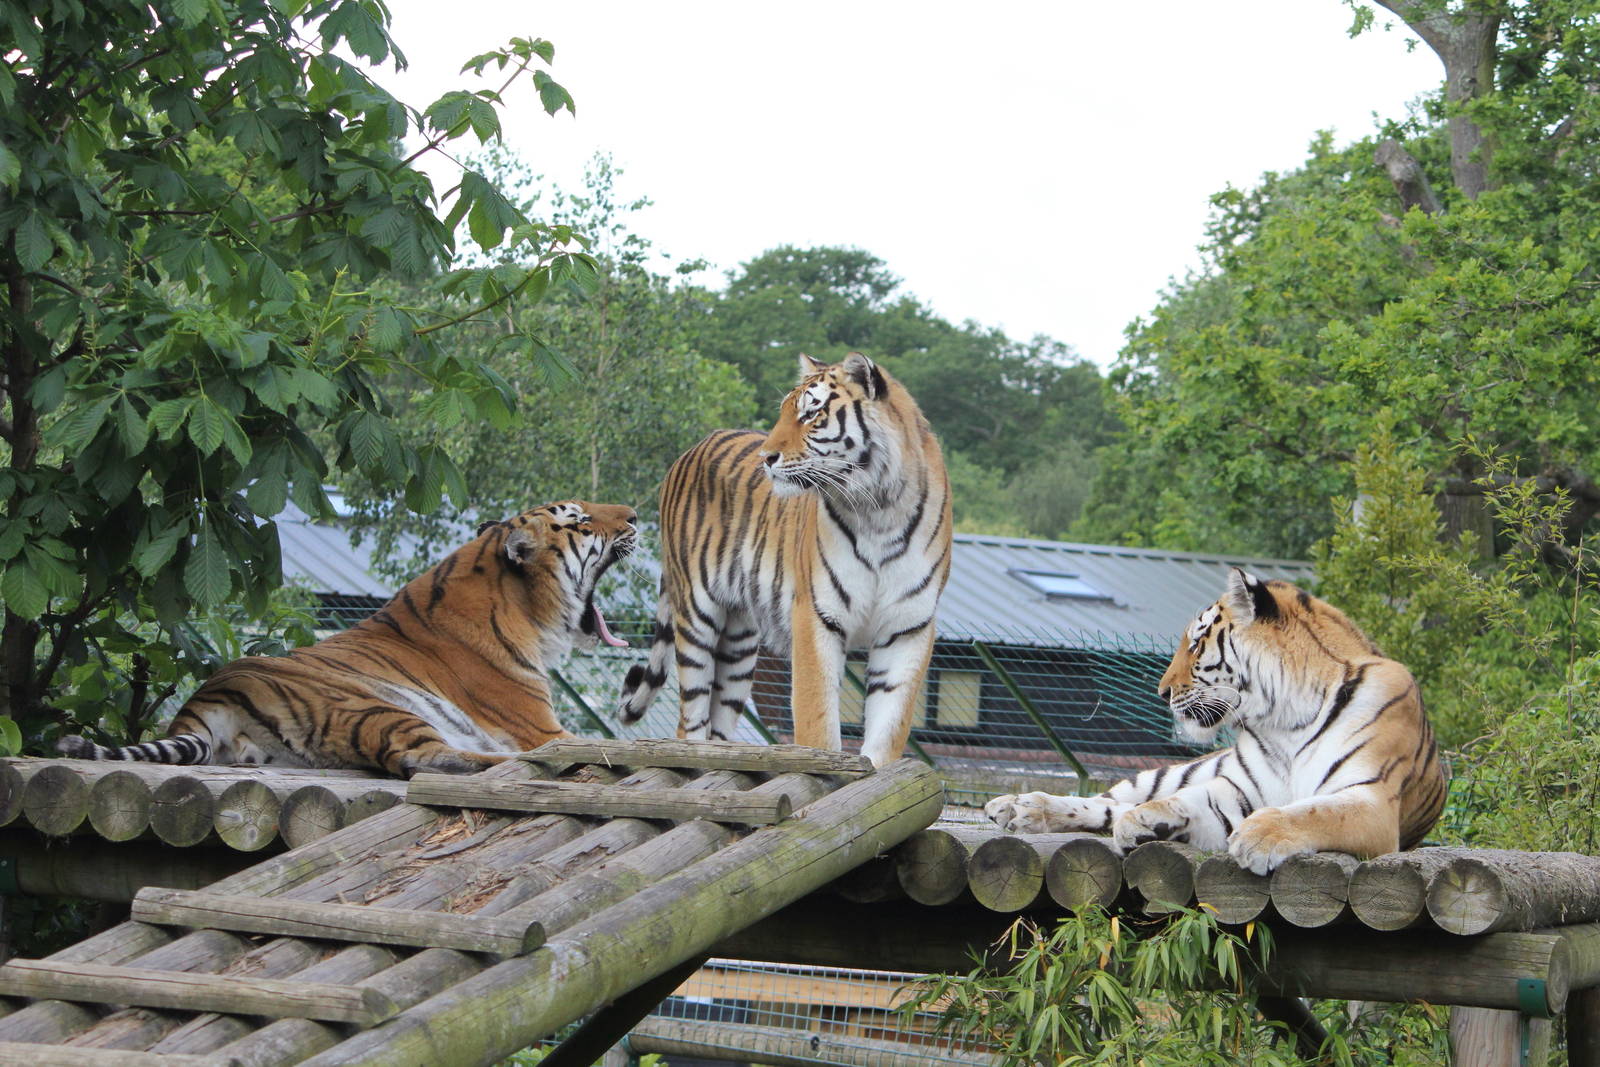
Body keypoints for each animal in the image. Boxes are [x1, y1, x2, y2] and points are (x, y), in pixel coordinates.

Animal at [58, 501, 637, 778]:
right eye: (580, 519)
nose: (634, 515)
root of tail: (205, 697)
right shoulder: (539, 724)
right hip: (374, 705)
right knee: (424, 759)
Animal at [617, 352, 952, 767]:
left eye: (811, 413)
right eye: (784, 412)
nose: (766, 457)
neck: (880, 509)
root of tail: (690, 449)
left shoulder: (908, 626)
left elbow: (888, 730)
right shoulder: (817, 614)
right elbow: (818, 722)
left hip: (740, 639)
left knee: (719, 724)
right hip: (696, 614)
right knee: (689, 721)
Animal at [985, 567, 1448, 874]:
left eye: (1195, 643)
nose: (1161, 692)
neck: (1285, 719)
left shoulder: (1370, 800)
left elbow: (1314, 812)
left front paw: (1258, 836)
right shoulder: (1239, 791)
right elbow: (1188, 799)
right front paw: (1148, 820)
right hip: (1174, 771)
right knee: (1109, 799)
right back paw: (1020, 807)